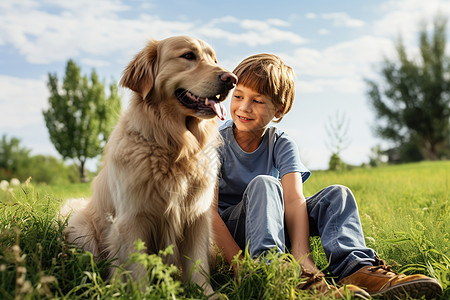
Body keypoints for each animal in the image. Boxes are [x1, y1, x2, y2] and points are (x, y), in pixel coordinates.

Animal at [62, 35, 237, 292]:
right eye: (188, 56)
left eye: (214, 59)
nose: (231, 80)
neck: (175, 148)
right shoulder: (132, 220)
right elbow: (138, 270)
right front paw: (142, 294)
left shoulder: (197, 217)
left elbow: (198, 265)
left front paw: (206, 293)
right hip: (81, 229)